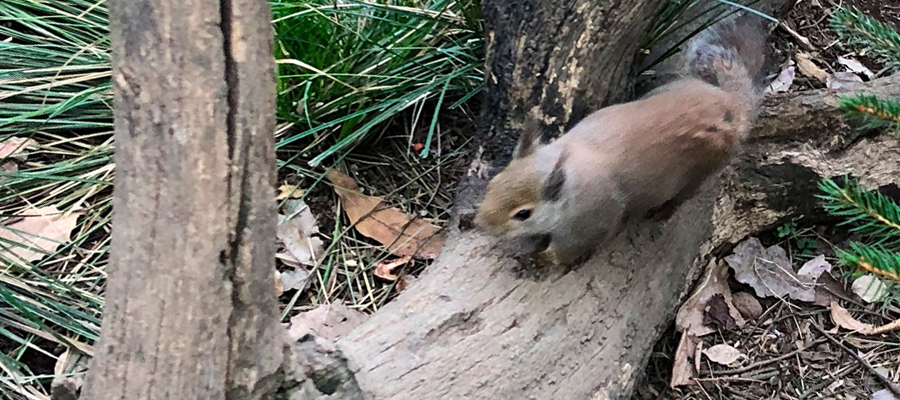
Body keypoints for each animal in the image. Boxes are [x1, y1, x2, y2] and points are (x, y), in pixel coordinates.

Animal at [474, 14, 768, 266]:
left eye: (523, 214)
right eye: (493, 182)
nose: (481, 224)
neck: (570, 178)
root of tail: (731, 102)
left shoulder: (591, 221)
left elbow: (570, 250)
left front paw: (539, 260)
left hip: (707, 164)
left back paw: (665, 210)